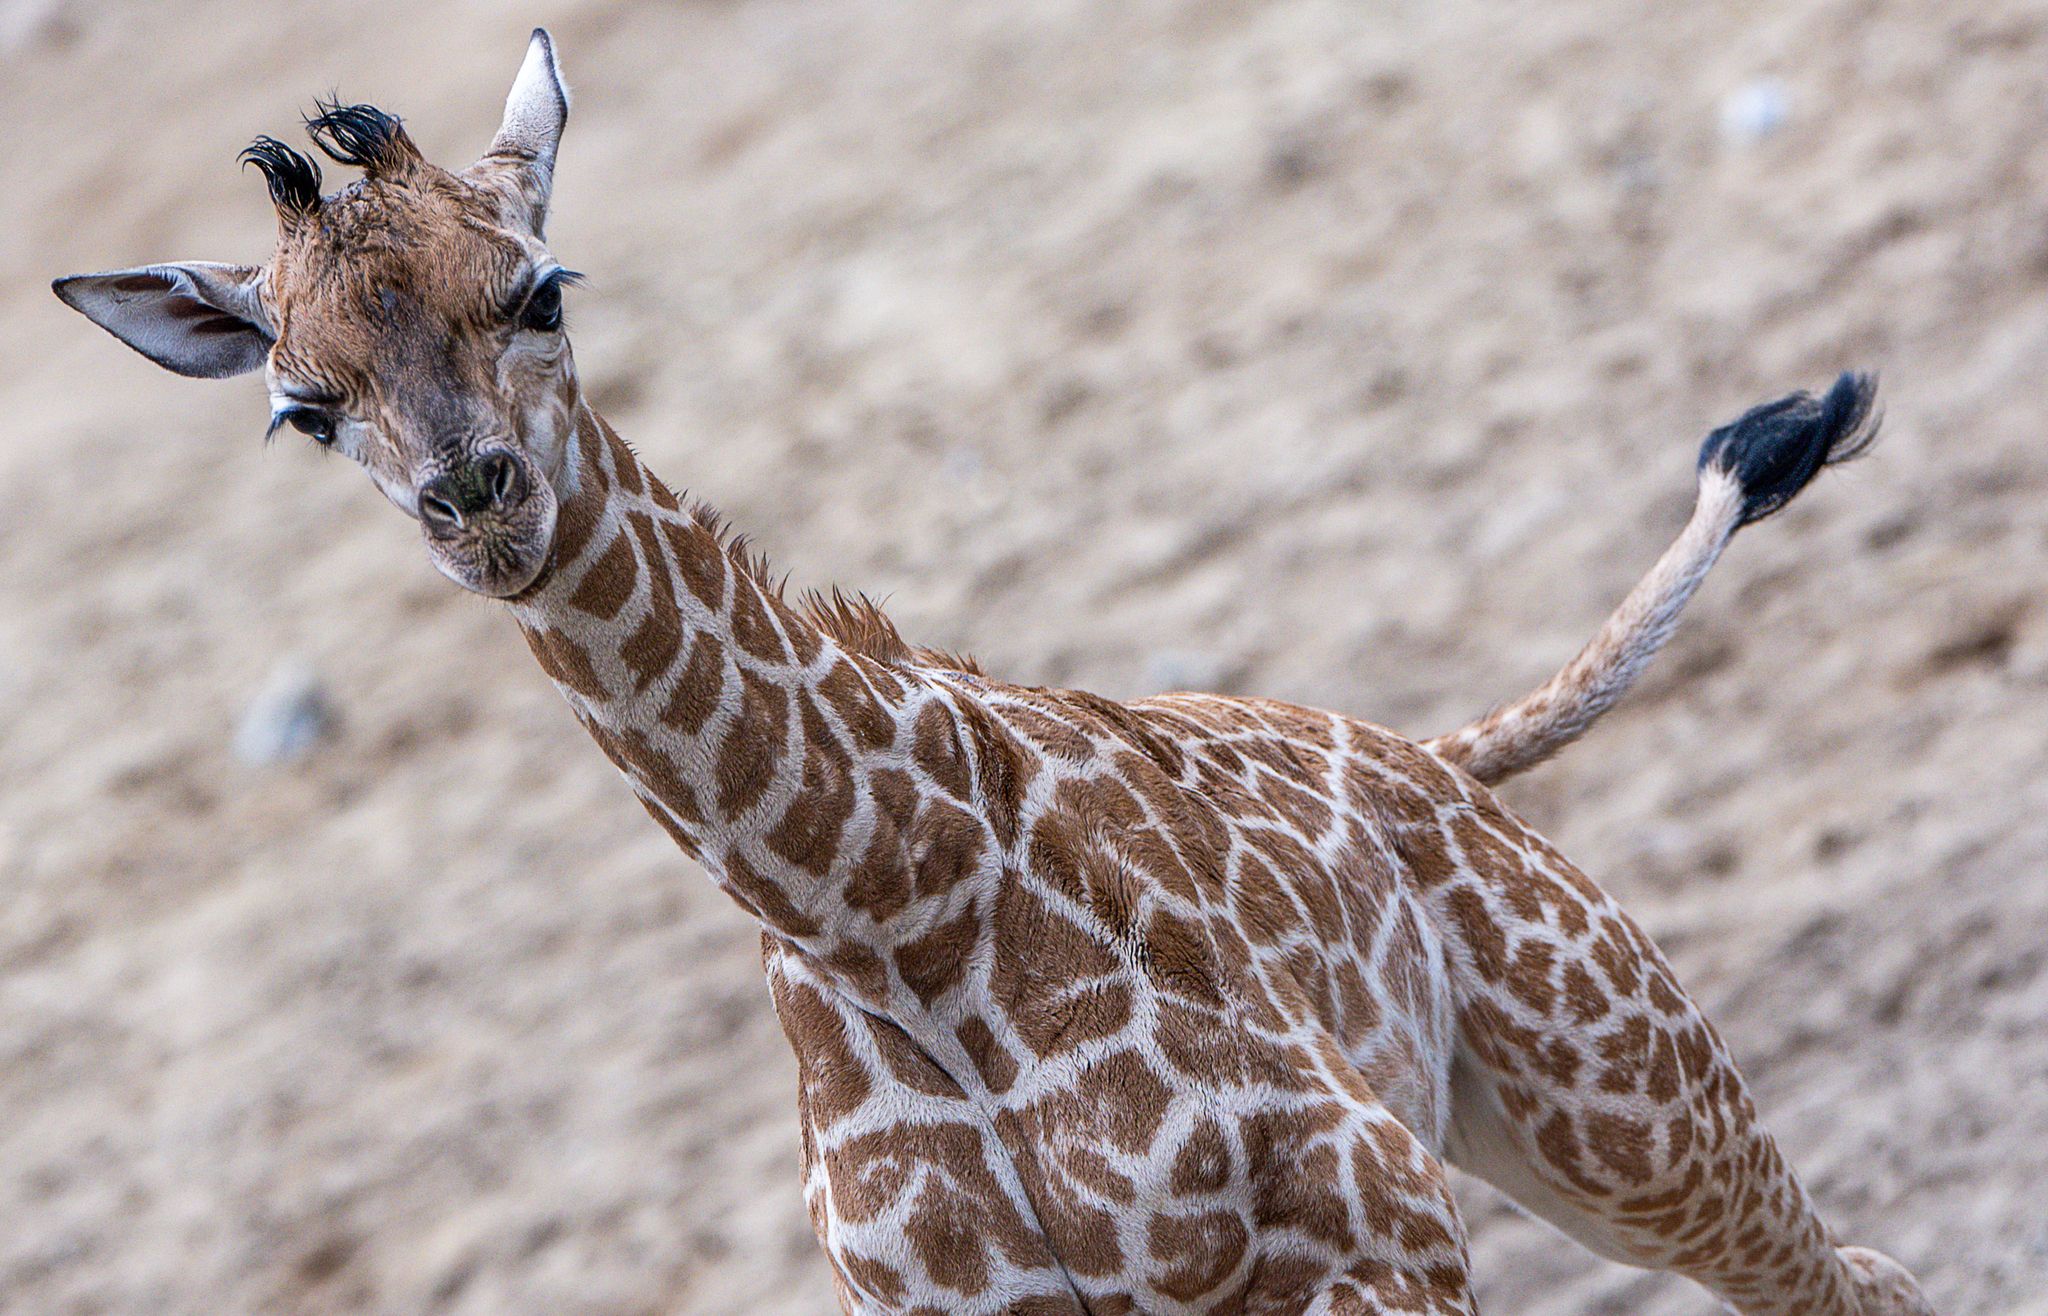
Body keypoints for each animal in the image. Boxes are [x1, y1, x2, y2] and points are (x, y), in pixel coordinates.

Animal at [56, 30, 1925, 1316]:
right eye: (303, 409)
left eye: (538, 290)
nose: (478, 500)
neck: (885, 905)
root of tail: (1433, 755)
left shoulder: (1374, 1222)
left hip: (1620, 1093)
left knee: (1859, 1281)